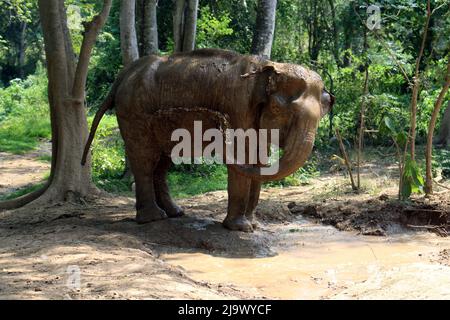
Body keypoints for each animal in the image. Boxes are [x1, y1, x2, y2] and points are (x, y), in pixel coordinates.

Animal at [81, 48, 334, 231]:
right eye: (281, 111)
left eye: (322, 115)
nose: (218, 121)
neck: (268, 66)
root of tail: (124, 74)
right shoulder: (239, 106)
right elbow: (243, 158)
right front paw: (241, 228)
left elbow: (258, 163)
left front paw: (253, 225)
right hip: (135, 112)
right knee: (145, 159)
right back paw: (152, 219)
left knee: (162, 162)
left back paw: (174, 213)